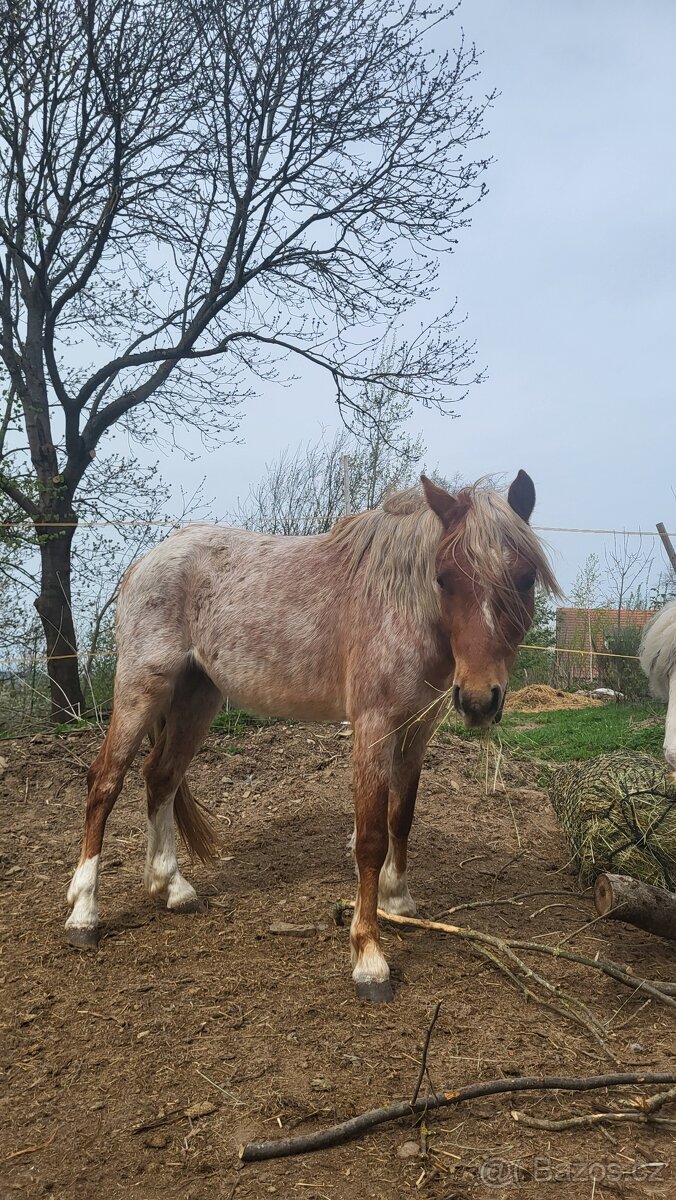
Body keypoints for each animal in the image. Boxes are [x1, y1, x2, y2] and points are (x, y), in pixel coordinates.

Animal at [65, 471, 559, 1001]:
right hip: (142, 687)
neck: (401, 608)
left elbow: (401, 819)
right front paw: (369, 958)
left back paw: (172, 889)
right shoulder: (373, 727)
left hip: (197, 698)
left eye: (525, 578)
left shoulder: (415, 730)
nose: (479, 700)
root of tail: (148, 559)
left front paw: (399, 899)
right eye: (444, 578)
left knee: (161, 777)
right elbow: (370, 838)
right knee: (105, 782)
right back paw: (83, 914)